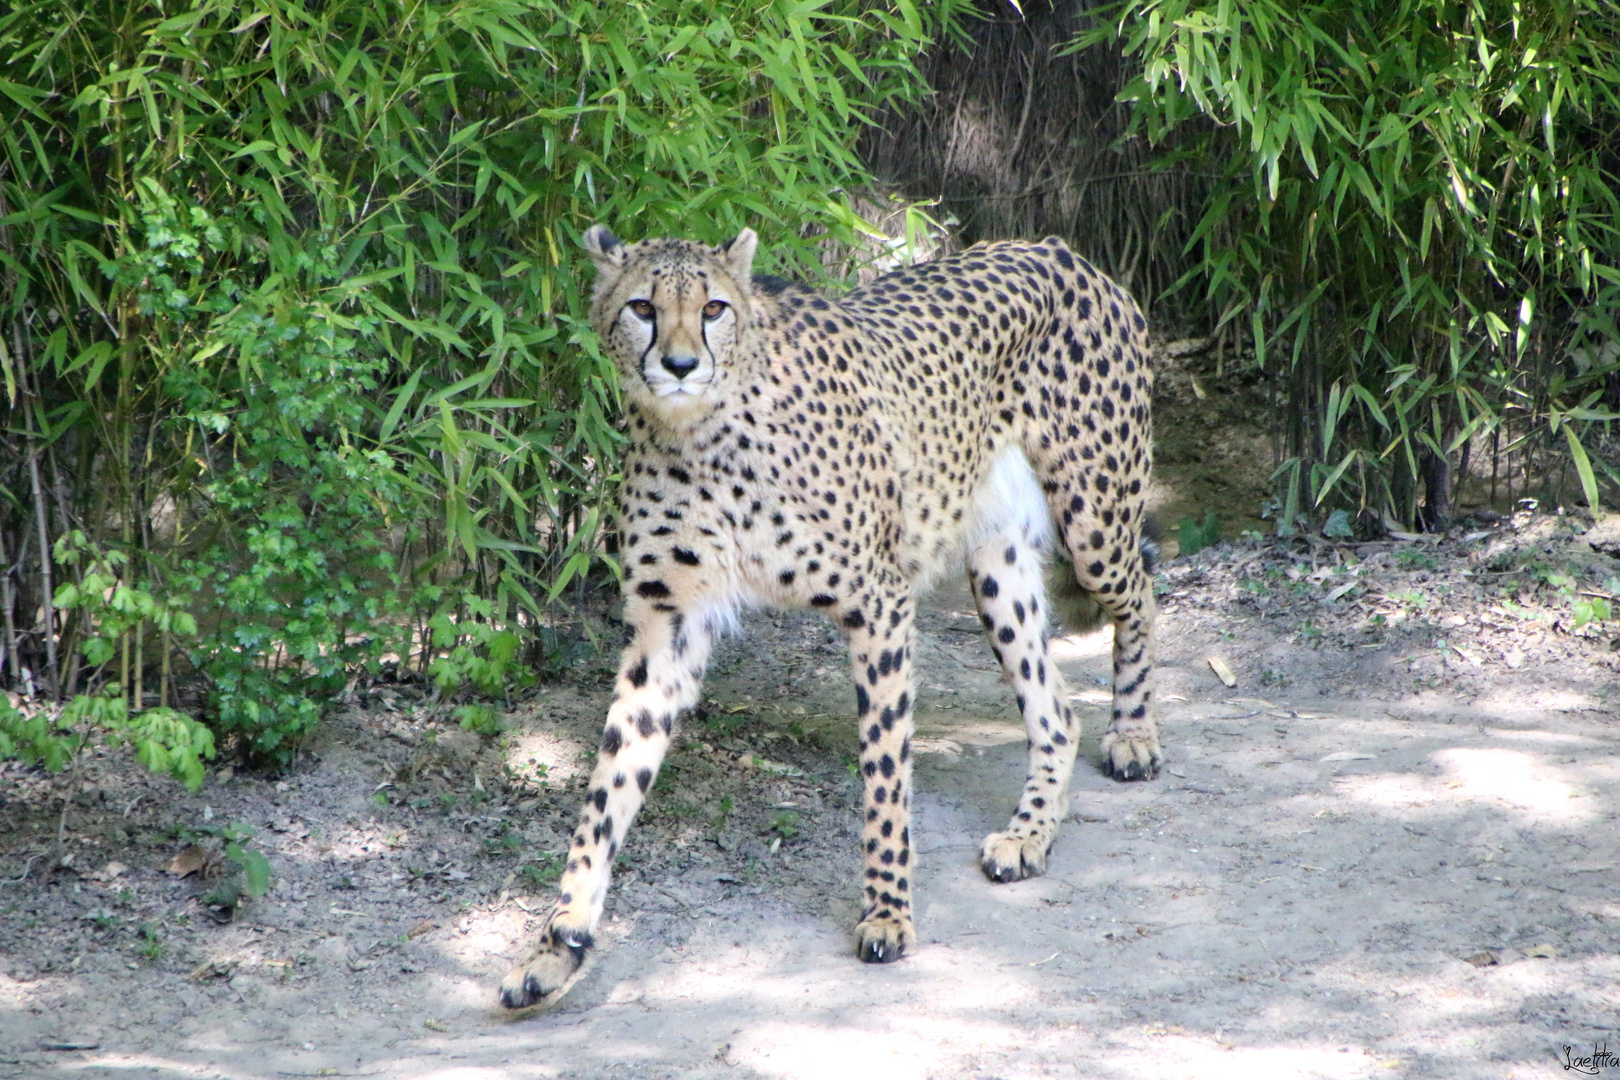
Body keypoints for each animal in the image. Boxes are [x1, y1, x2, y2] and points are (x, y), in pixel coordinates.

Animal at [498, 223, 1159, 1010]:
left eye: (714, 307)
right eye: (641, 307)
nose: (681, 364)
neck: (702, 431)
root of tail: (1058, 249)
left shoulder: (879, 603)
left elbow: (884, 774)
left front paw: (888, 913)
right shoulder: (669, 626)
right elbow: (607, 792)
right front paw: (557, 943)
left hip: (1095, 522)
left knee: (1142, 592)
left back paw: (1134, 735)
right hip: (995, 558)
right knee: (1055, 710)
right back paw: (1028, 833)